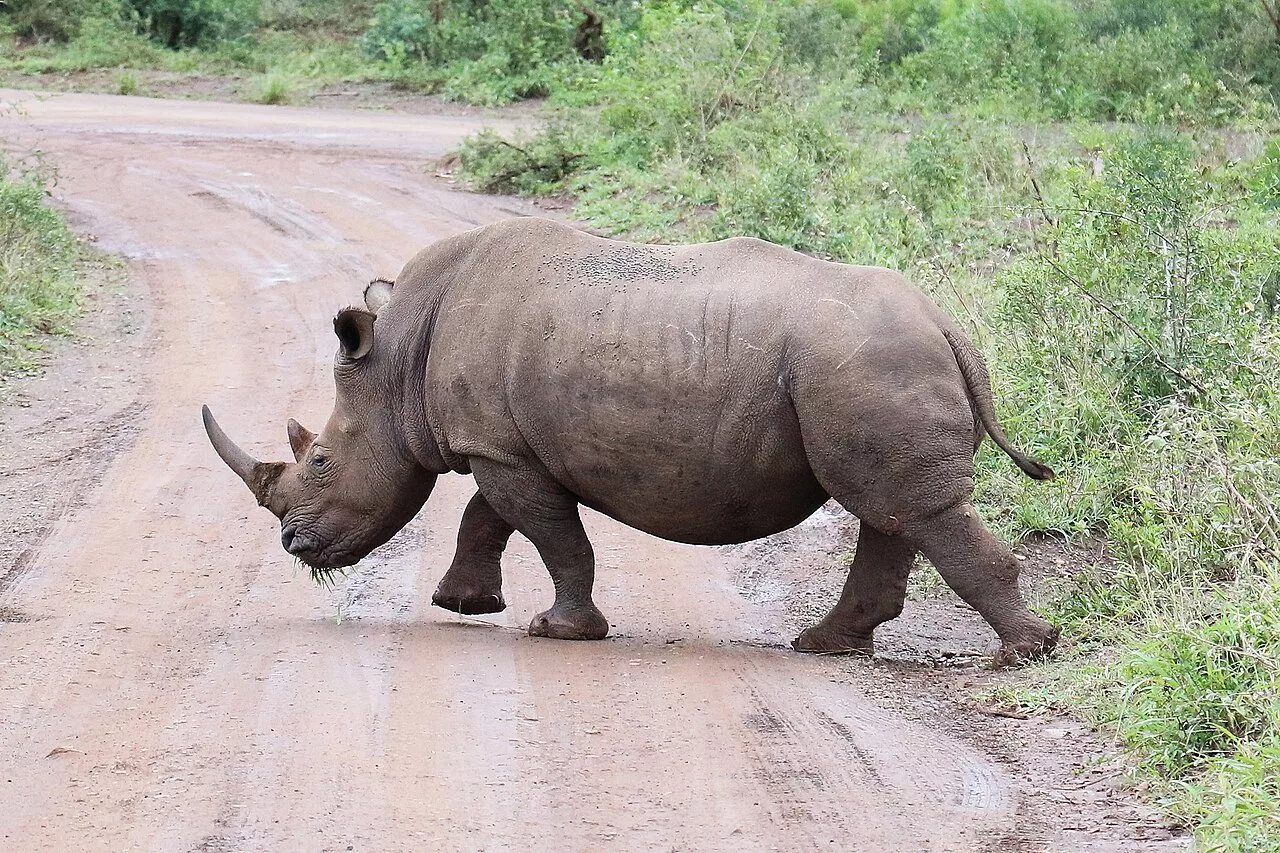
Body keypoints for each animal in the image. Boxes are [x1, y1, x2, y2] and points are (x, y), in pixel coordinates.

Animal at [203, 217, 1059, 665]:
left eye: (320, 461)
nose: (292, 544)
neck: (399, 358)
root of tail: (947, 326)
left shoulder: (501, 448)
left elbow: (553, 537)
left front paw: (558, 630)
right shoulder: (505, 444)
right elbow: (487, 516)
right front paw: (463, 602)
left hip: (867, 362)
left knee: (907, 506)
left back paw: (1024, 652)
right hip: (869, 365)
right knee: (893, 508)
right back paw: (823, 646)